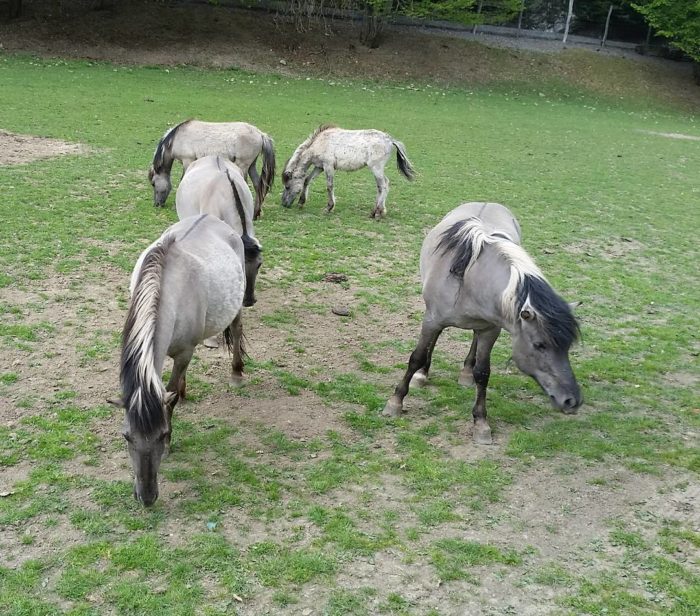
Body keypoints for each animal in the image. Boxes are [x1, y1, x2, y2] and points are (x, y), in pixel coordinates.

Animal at [109, 215, 249, 506]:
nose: (146, 497)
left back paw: (236, 373)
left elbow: (170, 395)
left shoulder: (185, 352)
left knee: (236, 328)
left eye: (161, 435)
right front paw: (179, 394)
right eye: (126, 436)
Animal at [280, 123, 412, 219]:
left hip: (376, 168)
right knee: (385, 185)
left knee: (383, 186)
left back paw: (377, 213)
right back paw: (379, 211)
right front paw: (301, 202)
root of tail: (390, 140)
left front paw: (329, 208)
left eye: (287, 186)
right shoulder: (319, 167)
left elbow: (329, 186)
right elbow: (307, 180)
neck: (320, 142)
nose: (284, 204)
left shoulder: (328, 166)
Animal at [382, 205, 580, 446]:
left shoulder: (491, 329)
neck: (469, 279)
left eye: (567, 347)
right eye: (539, 345)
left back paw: (466, 373)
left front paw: (481, 423)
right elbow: (416, 357)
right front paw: (395, 402)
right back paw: (422, 375)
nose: (572, 400)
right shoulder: (431, 320)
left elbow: (483, 373)